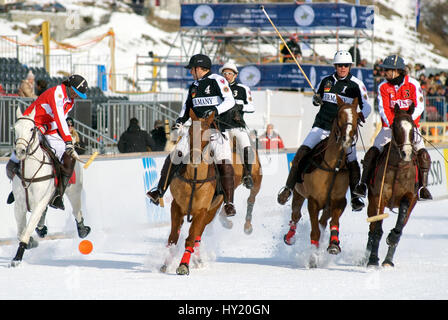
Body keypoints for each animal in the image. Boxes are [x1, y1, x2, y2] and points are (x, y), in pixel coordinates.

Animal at [160, 110, 224, 276]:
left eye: (209, 135)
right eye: (189, 132)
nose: (195, 158)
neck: (194, 178)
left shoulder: (202, 211)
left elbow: (191, 237)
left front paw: (183, 265)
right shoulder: (176, 206)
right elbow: (172, 238)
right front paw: (165, 263)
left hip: (211, 212)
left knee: (197, 236)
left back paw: (197, 259)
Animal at [284, 96, 360, 266]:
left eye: (357, 118)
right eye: (339, 116)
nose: (347, 139)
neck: (332, 166)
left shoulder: (339, 201)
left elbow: (334, 223)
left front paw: (333, 245)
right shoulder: (313, 201)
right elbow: (315, 232)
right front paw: (312, 258)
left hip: (327, 206)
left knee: (323, 221)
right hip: (299, 193)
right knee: (296, 215)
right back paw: (289, 237)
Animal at [364, 105, 420, 268]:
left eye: (412, 128)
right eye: (396, 126)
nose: (407, 153)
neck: (398, 166)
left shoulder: (409, 197)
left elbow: (398, 227)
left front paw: (388, 259)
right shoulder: (379, 197)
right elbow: (377, 230)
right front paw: (372, 260)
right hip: (371, 202)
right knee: (371, 228)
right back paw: (367, 255)